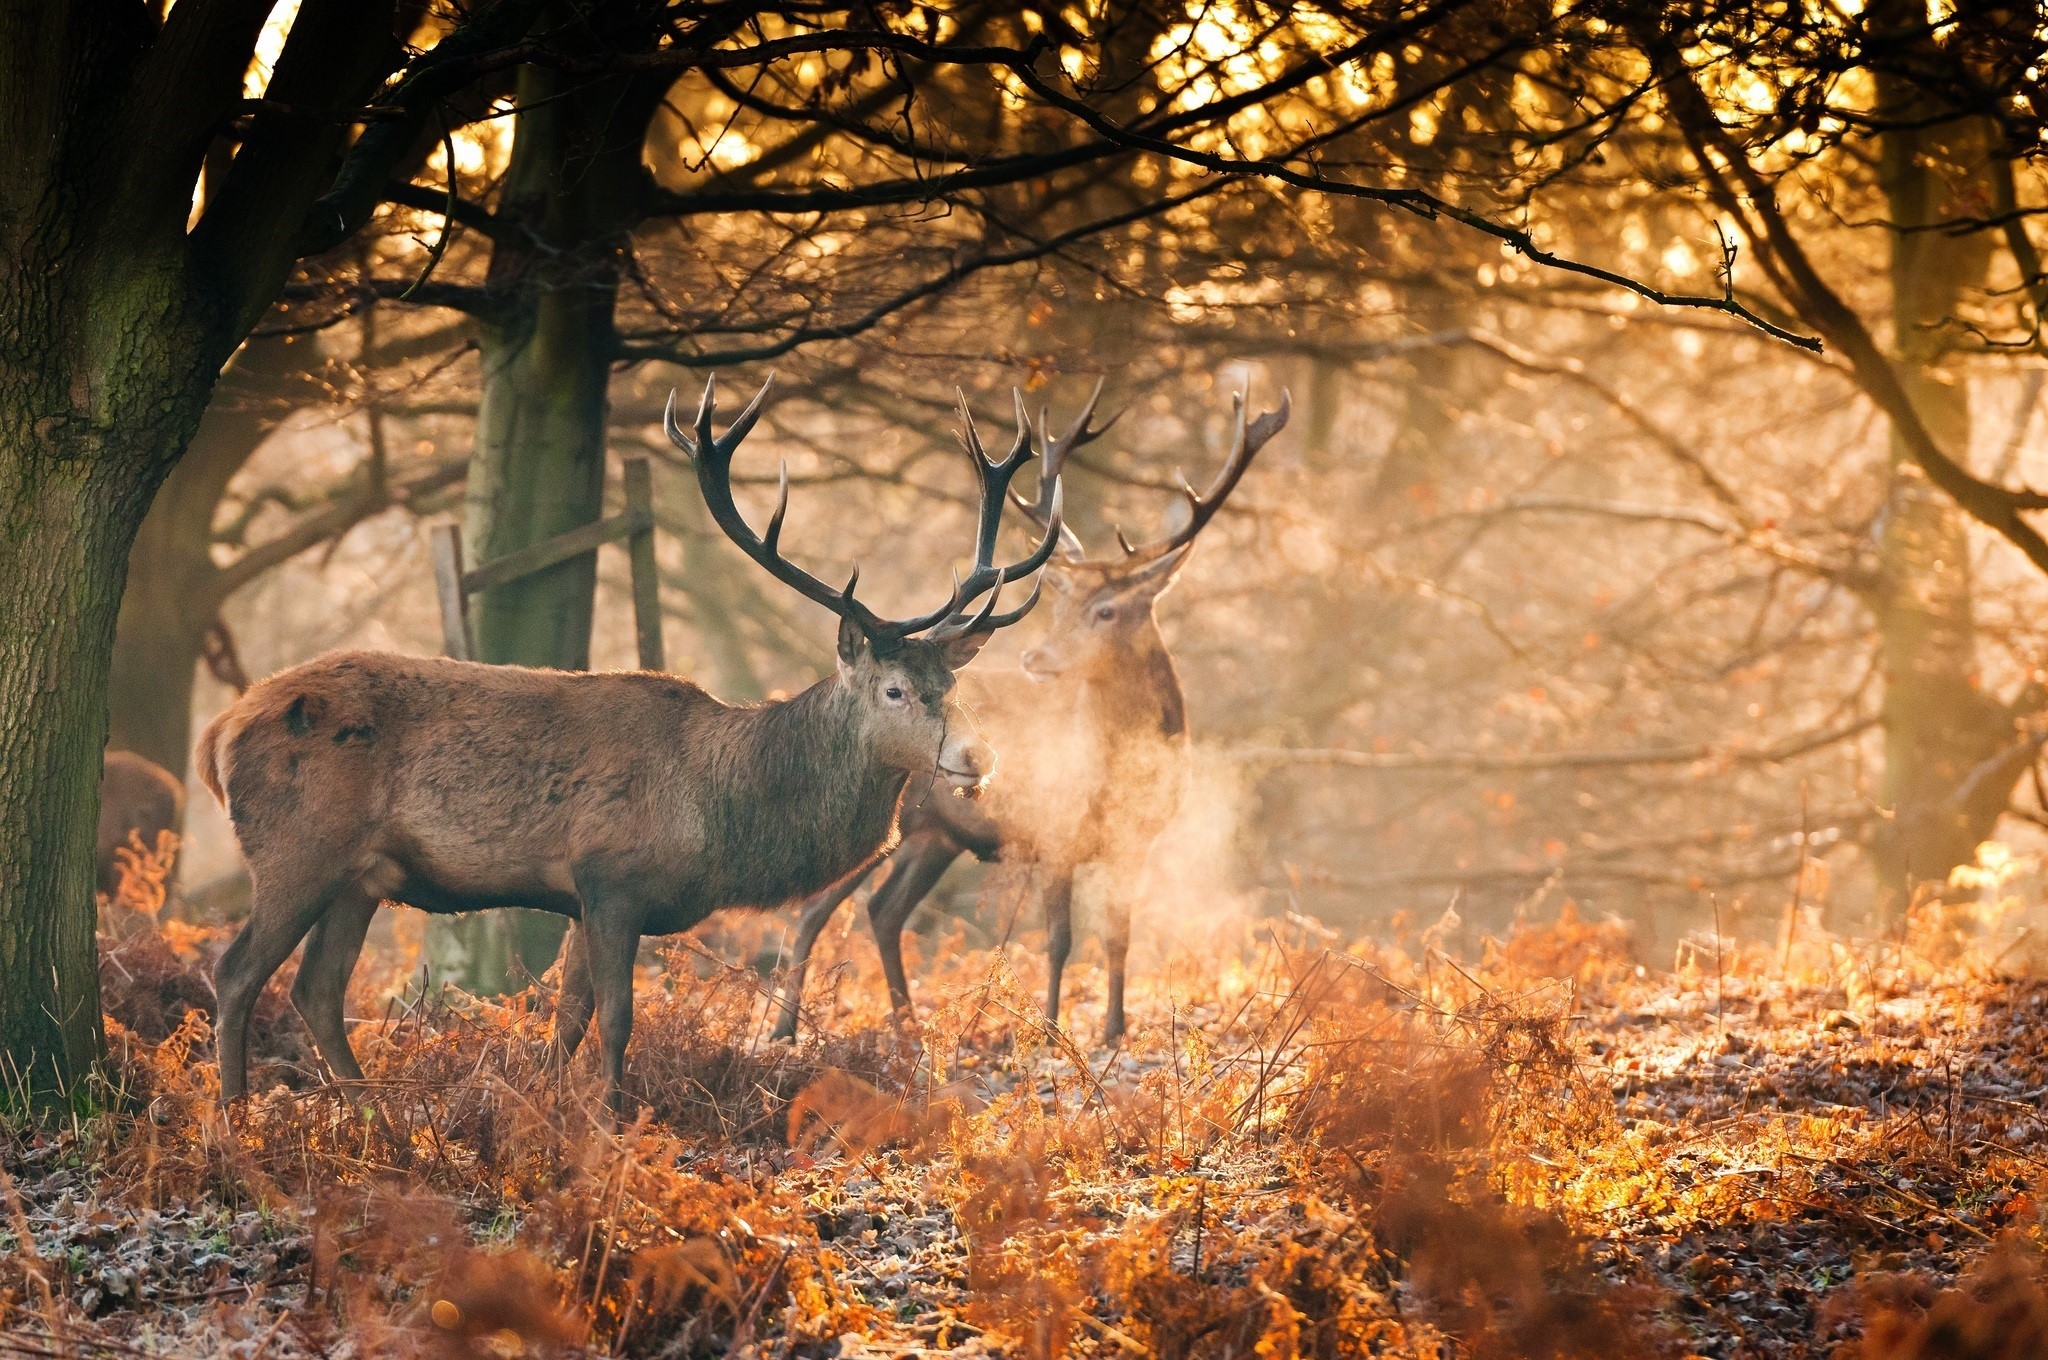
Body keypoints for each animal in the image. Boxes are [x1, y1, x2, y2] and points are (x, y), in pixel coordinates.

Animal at [198, 374, 1063, 1109]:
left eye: (951, 684)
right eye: (894, 689)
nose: (978, 757)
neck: (720, 813)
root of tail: (219, 730)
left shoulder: (580, 896)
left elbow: (566, 1021)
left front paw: (546, 1118)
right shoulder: (611, 875)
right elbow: (615, 1021)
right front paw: (610, 1130)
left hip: (360, 875)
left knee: (316, 989)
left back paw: (371, 1115)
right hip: (297, 847)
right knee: (236, 972)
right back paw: (234, 1124)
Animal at [770, 383, 1288, 1046]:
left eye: (1108, 610)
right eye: (1059, 605)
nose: (1036, 657)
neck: (1117, 772)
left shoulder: (1135, 842)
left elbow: (1118, 937)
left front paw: (1114, 1030)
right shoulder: (1054, 832)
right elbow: (1060, 940)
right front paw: (1048, 1031)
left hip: (935, 833)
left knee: (884, 910)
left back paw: (907, 1024)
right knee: (813, 909)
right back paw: (786, 1031)